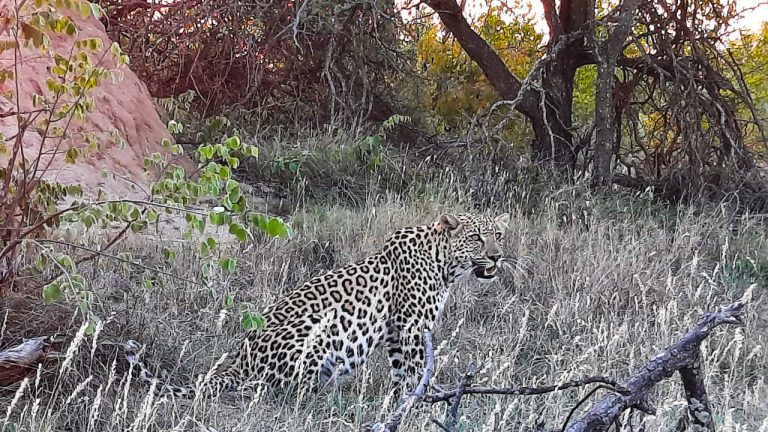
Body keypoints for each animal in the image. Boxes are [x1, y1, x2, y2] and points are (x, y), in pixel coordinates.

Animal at [123, 211, 511, 399]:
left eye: (499, 235)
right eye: (477, 237)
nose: (497, 256)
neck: (446, 264)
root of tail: (237, 363)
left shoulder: (397, 332)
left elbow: (402, 372)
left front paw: (404, 400)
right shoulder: (412, 327)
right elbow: (418, 370)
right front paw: (421, 401)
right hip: (319, 330)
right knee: (272, 387)